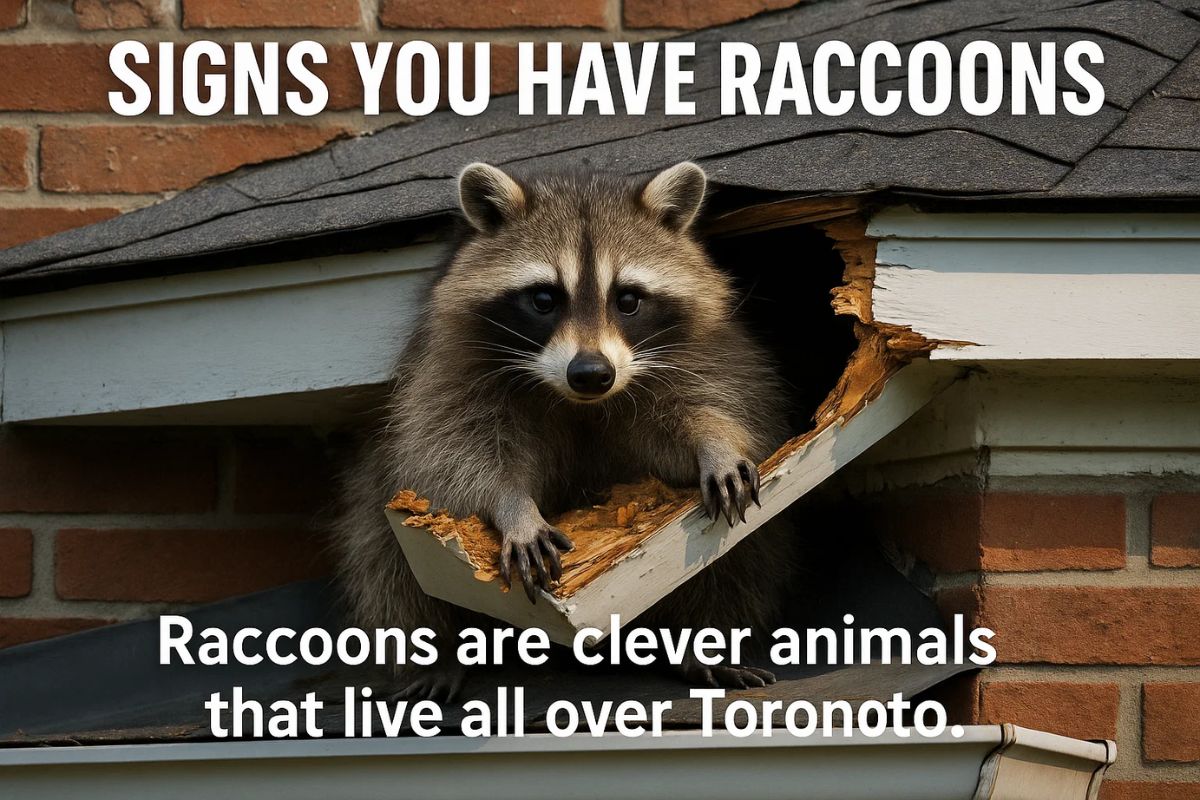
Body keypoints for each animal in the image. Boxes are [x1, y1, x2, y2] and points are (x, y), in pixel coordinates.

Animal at [333, 162, 795, 700]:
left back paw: (703, 643)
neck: (579, 402)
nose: (592, 374)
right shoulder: (449, 369)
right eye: (543, 299)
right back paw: (437, 651)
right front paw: (511, 506)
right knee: (381, 547)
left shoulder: (700, 356)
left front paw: (715, 441)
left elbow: (701, 412)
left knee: (745, 556)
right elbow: (456, 453)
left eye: (628, 299)